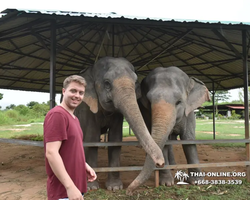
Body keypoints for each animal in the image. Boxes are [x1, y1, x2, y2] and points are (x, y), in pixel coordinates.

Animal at [73, 57, 165, 191]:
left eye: (136, 82)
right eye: (107, 83)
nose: (161, 163)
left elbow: (115, 138)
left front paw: (115, 187)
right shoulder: (87, 107)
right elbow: (92, 138)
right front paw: (92, 187)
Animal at [126, 66, 210, 195]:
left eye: (179, 102)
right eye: (149, 102)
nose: (128, 191)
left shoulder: (189, 113)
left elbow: (188, 140)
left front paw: (196, 182)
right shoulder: (146, 113)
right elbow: (162, 144)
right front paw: (166, 183)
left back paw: (173, 166)